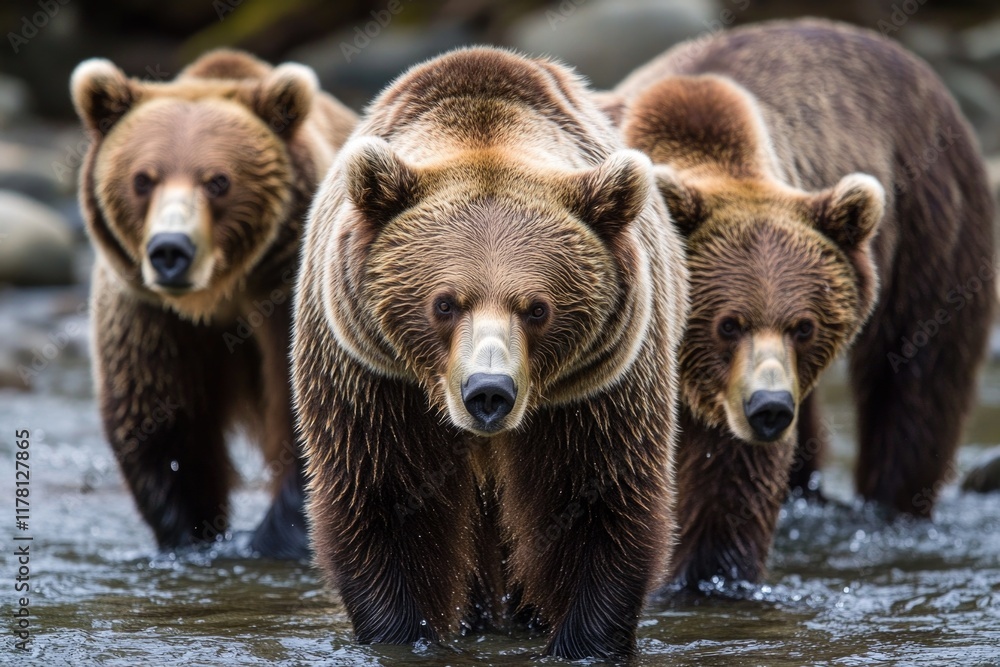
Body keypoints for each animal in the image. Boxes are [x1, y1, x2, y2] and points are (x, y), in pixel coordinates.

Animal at [71, 49, 357, 558]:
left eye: (218, 181)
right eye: (143, 179)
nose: (170, 250)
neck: (222, 295)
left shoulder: (293, 299)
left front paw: (270, 540)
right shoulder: (149, 314)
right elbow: (162, 423)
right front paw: (194, 537)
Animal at [292, 47, 689, 660]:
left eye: (537, 308)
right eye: (444, 302)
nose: (488, 392)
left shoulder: (596, 391)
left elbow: (596, 504)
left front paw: (582, 640)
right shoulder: (373, 379)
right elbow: (384, 502)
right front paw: (404, 633)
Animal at [608, 19, 995, 588]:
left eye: (804, 325)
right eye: (728, 324)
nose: (769, 408)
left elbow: (729, 483)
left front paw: (710, 574)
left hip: (932, 227)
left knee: (917, 382)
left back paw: (890, 508)